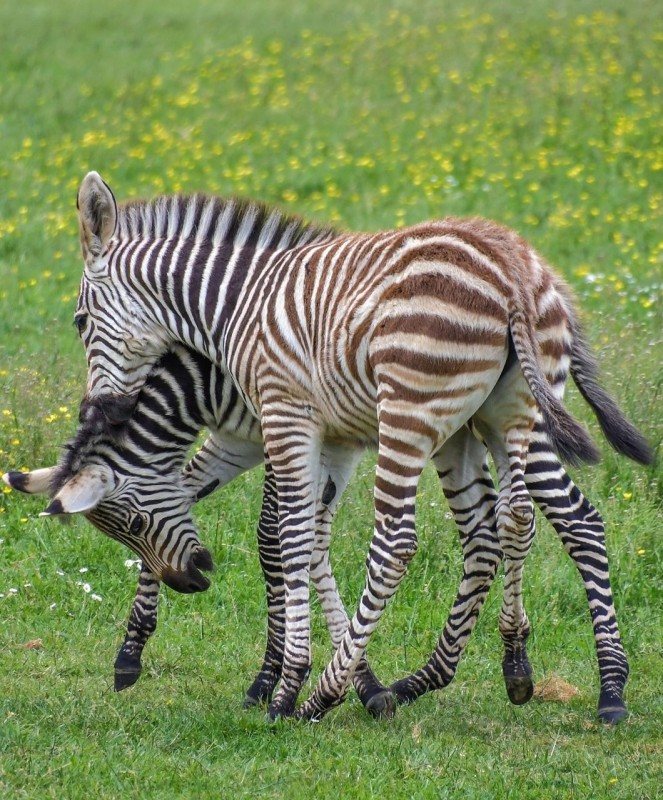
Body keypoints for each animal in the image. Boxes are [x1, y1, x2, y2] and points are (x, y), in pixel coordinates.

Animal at [71, 172, 652, 721]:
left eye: (78, 322)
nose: (96, 412)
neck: (232, 312)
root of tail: (513, 270)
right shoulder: (303, 439)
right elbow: (295, 532)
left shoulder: (283, 418)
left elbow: (283, 538)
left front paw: (284, 684)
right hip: (503, 418)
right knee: (519, 522)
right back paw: (527, 672)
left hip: (415, 413)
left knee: (415, 540)